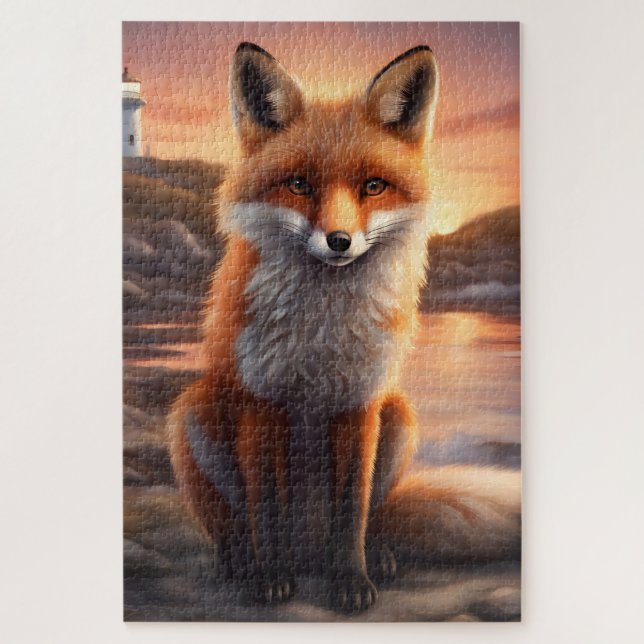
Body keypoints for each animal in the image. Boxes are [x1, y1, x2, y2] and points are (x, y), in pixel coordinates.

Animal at [167, 42, 520, 614]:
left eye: (373, 187)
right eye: (299, 185)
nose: (339, 241)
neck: (322, 335)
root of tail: (307, 551)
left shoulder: (362, 403)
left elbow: (352, 512)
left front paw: (352, 580)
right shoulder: (261, 402)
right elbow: (264, 507)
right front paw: (269, 577)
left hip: (401, 416)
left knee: (372, 521)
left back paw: (375, 556)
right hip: (191, 412)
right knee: (231, 527)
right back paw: (241, 563)